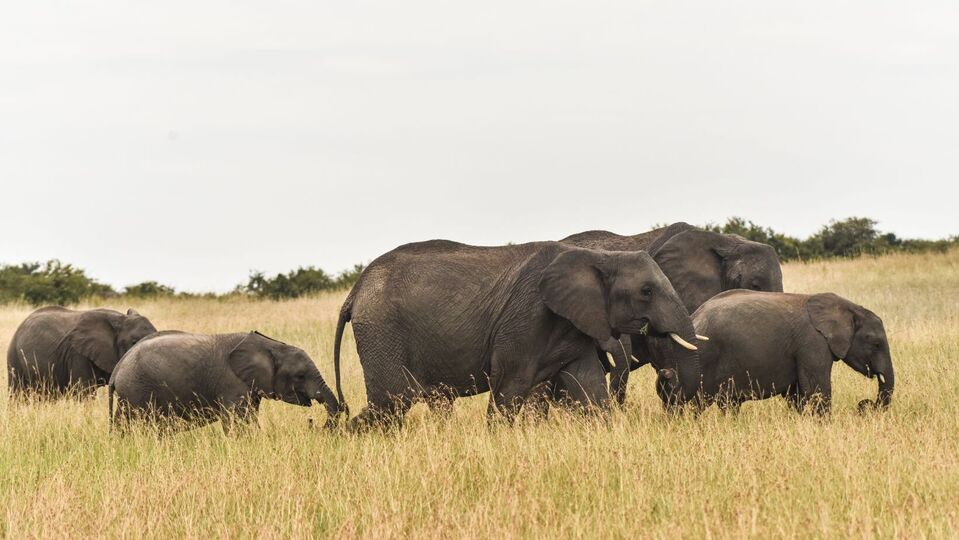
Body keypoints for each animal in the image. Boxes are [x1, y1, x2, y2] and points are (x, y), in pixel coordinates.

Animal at [110, 330, 344, 430]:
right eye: (300, 376)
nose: (311, 423)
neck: (270, 345)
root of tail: (118, 368)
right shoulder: (232, 384)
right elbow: (236, 421)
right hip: (137, 392)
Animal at [334, 240, 700, 430]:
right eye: (647, 291)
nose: (669, 378)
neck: (597, 255)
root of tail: (354, 292)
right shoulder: (527, 318)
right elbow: (510, 386)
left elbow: (589, 388)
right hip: (382, 333)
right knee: (392, 402)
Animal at [688, 292, 896, 414]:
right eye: (876, 344)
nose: (864, 404)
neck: (849, 308)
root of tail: (695, 316)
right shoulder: (813, 342)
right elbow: (818, 390)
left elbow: (797, 395)